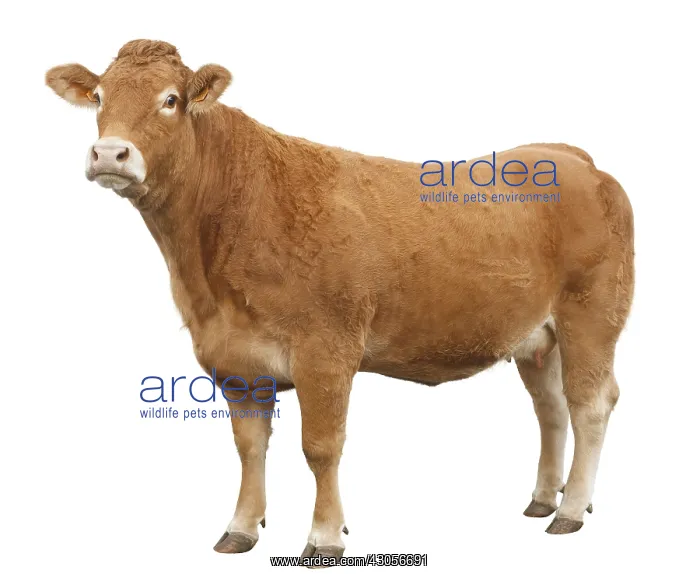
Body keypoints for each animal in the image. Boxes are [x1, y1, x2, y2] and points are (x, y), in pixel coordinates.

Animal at [46, 39, 634, 563]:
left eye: (170, 99)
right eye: (99, 97)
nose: (109, 153)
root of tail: (569, 156)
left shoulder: (326, 350)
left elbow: (321, 447)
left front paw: (324, 537)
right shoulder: (234, 361)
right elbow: (249, 447)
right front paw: (240, 528)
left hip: (592, 316)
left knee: (589, 404)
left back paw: (571, 511)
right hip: (537, 336)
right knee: (551, 408)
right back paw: (543, 499)